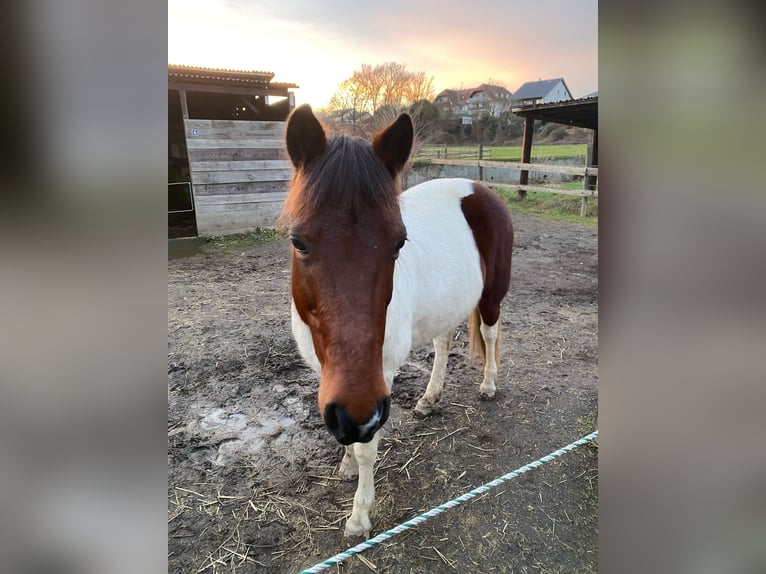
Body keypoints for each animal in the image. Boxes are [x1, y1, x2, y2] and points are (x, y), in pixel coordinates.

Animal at [281, 104, 513, 539]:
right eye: (298, 242)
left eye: (398, 243)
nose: (354, 416)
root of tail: (480, 187)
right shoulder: (332, 378)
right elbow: (350, 441)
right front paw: (345, 463)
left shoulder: (378, 380)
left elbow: (367, 449)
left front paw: (359, 515)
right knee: (443, 344)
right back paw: (428, 398)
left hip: (492, 295)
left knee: (489, 336)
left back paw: (489, 385)